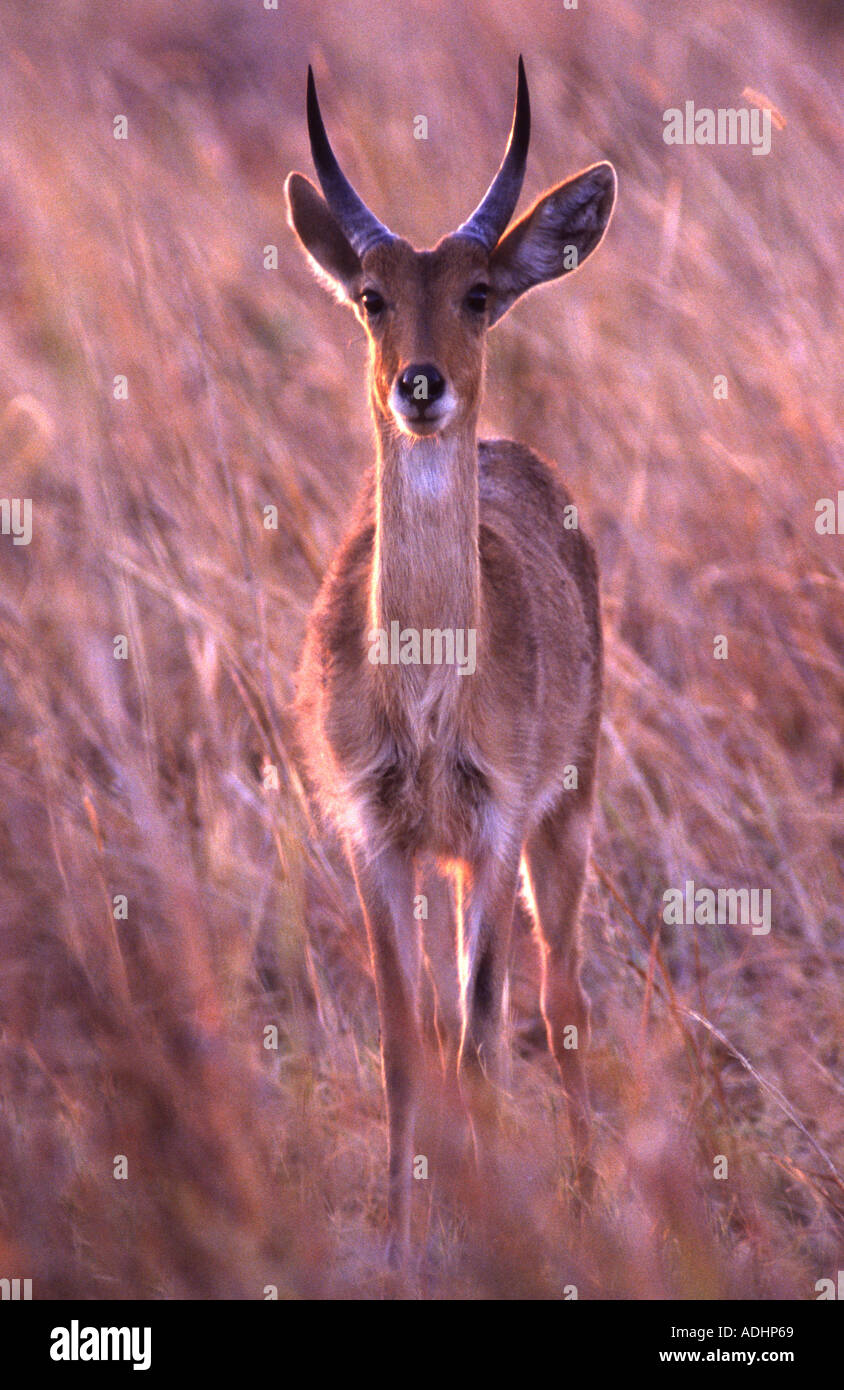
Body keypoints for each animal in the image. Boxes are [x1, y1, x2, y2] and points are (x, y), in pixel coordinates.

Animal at [287, 59, 617, 1267]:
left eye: (478, 292)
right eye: (371, 294)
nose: (420, 386)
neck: (426, 692)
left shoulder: (493, 827)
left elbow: (477, 1046)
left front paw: (481, 1241)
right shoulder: (375, 837)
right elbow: (402, 1049)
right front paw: (396, 1246)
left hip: (561, 819)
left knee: (559, 1001)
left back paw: (583, 1193)